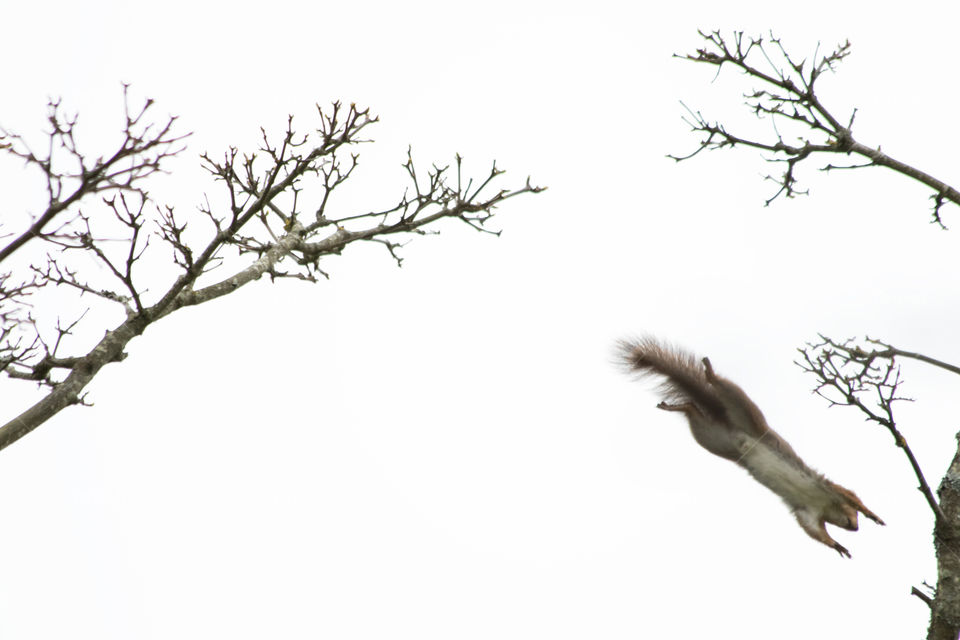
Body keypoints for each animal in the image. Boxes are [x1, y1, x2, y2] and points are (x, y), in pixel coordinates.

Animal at [618, 337, 883, 558]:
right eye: (852, 515)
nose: (856, 528)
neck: (825, 505)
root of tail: (731, 425)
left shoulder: (807, 511)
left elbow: (814, 531)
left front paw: (836, 545)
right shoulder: (828, 490)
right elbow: (848, 495)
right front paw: (872, 514)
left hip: (711, 438)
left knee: (694, 412)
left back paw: (680, 406)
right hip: (745, 411)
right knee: (723, 387)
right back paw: (709, 373)